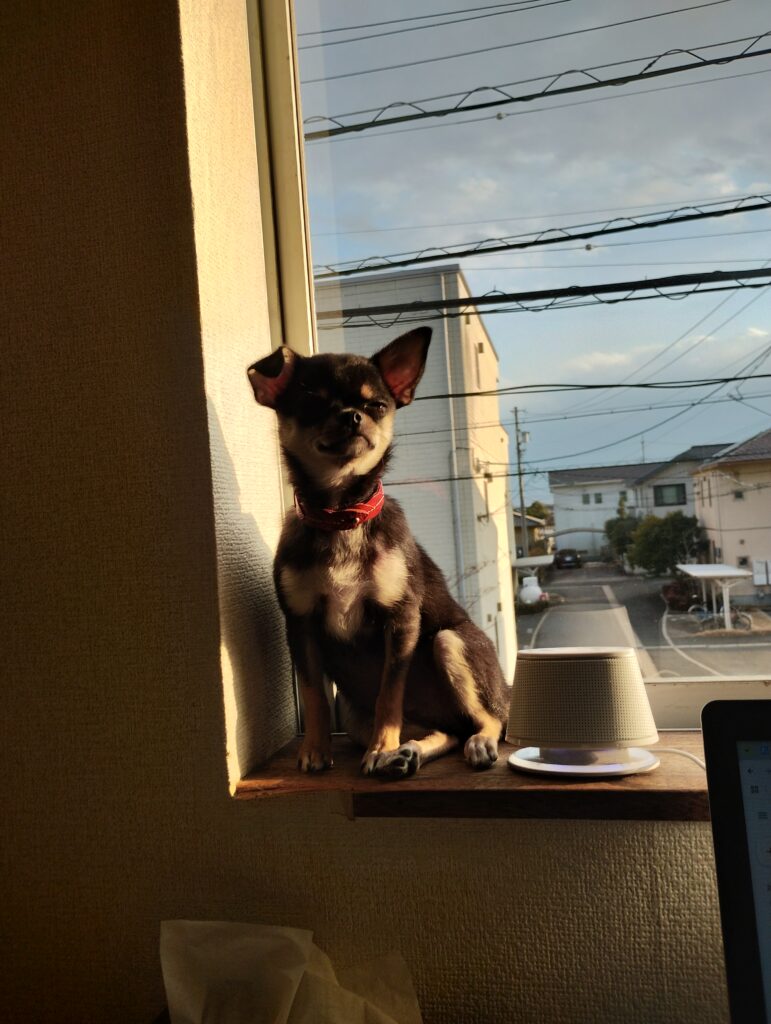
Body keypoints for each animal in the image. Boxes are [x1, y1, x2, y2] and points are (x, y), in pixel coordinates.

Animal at [248, 327, 510, 778]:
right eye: (312, 402)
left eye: (377, 406)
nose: (353, 415)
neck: (341, 515)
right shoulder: (301, 624)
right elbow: (314, 694)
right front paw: (315, 750)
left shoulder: (399, 620)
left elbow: (390, 694)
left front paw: (380, 748)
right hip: (356, 715)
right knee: (446, 730)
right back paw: (409, 753)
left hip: (450, 642)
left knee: (489, 718)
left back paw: (470, 744)